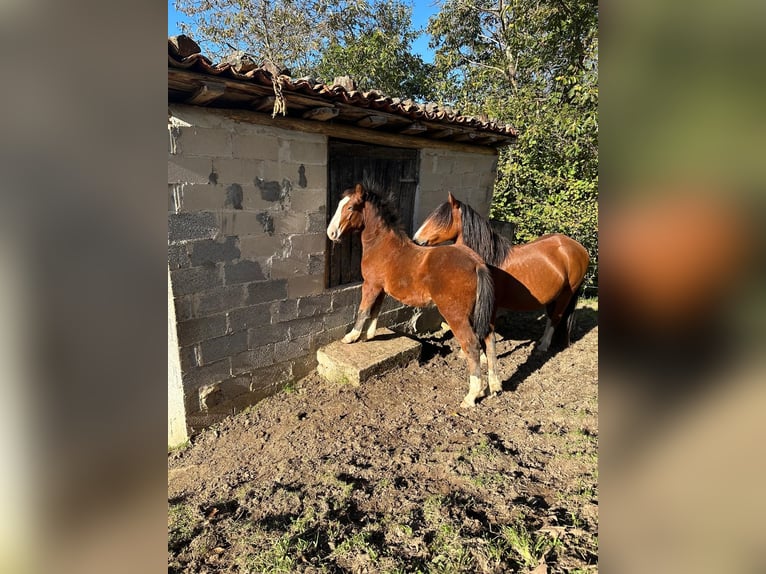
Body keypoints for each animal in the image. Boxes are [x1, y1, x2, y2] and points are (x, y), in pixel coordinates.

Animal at [328, 186, 500, 410]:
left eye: (350, 207)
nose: (331, 233)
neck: (382, 245)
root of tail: (476, 262)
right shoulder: (381, 288)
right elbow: (375, 310)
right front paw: (371, 335)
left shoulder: (370, 285)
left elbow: (363, 310)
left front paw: (352, 337)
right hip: (479, 314)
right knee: (490, 339)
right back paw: (495, 386)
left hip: (456, 315)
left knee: (472, 346)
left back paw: (471, 396)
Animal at [416, 194, 592, 354]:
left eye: (441, 219)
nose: (417, 240)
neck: (486, 260)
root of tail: (579, 248)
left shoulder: (491, 305)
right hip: (554, 295)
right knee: (550, 317)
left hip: (566, 294)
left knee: (556, 318)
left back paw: (543, 346)